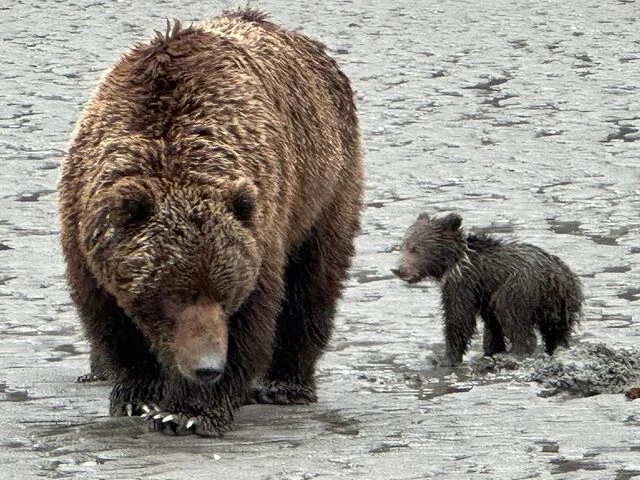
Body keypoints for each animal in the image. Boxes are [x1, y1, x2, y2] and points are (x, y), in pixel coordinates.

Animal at [58, 8, 364, 436]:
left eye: (225, 294)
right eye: (174, 294)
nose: (208, 367)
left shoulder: (261, 228)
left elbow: (256, 315)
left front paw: (188, 412)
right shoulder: (85, 232)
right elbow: (112, 321)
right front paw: (138, 395)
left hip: (325, 186)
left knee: (312, 283)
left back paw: (283, 384)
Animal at [392, 212, 583, 366]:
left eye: (415, 248)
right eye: (402, 245)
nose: (398, 269)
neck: (455, 260)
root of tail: (553, 276)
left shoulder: (464, 283)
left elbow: (458, 318)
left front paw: (444, 358)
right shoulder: (484, 293)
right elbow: (492, 327)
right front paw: (492, 350)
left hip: (519, 289)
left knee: (513, 317)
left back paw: (517, 352)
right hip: (562, 303)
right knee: (557, 332)